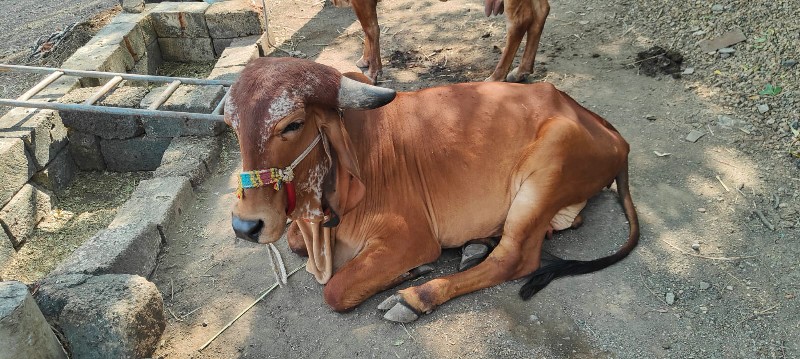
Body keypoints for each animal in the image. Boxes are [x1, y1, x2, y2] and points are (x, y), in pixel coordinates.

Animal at [223, 57, 636, 324]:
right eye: (232, 126)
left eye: (292, 124)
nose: (246, 226)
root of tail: (608, 129)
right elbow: (293, 241)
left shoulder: (410, 236)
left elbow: (335, 291)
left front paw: (410, 274)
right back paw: (478, 244)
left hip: (548, 166)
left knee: (514, 258)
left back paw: (415, 298)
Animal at [332, 0, 552, 83]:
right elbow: (368, 28)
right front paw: (365, 60)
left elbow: (372, 29)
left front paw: (373, 72)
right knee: (541, 12)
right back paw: (521, 71)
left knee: (519, 22)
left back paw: (496, 77)